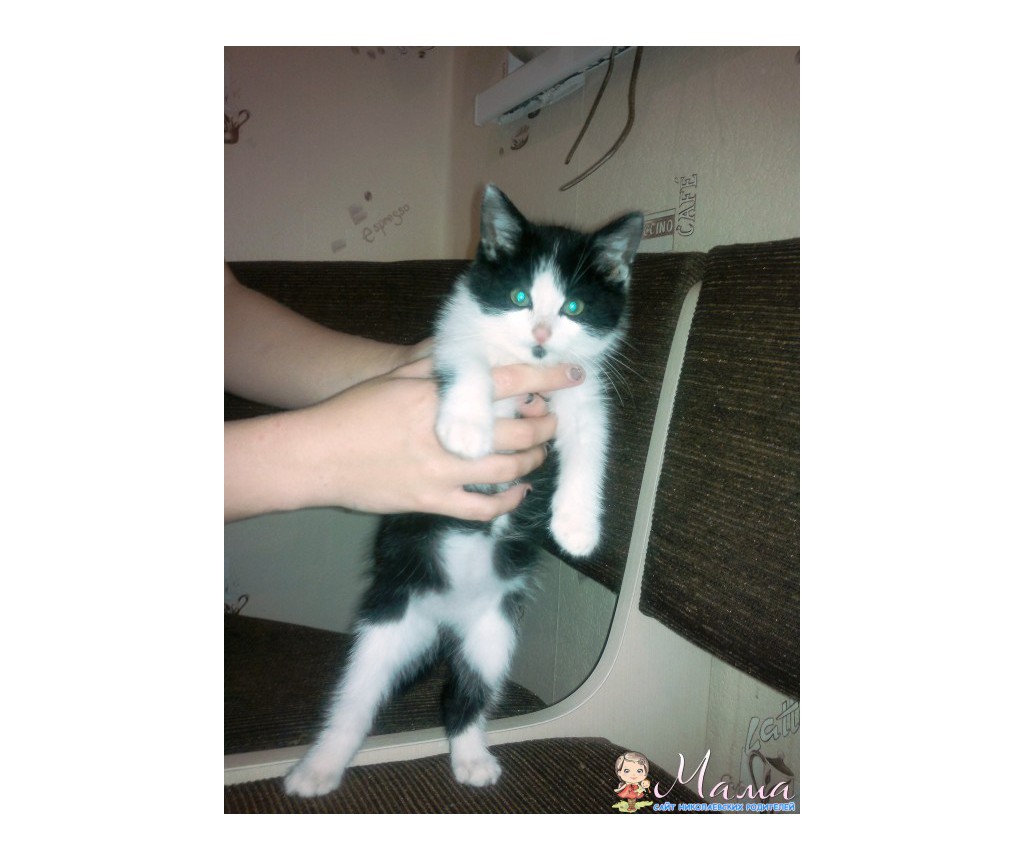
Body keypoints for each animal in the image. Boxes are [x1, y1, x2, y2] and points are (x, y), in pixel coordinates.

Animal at [283, 186, 644, 797]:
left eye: (572, 308)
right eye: (520, 297)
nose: (541, 335)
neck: (525, 372)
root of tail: (445, 621)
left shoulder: (581, 386)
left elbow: (590, 441)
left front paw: (576, 526)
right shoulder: (447, 338)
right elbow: (469, 357)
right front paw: (468, 429)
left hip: (493, 631)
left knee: (466, 694)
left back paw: (471, 756)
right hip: (387, 621)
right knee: (355, 701)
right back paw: (318, 767)